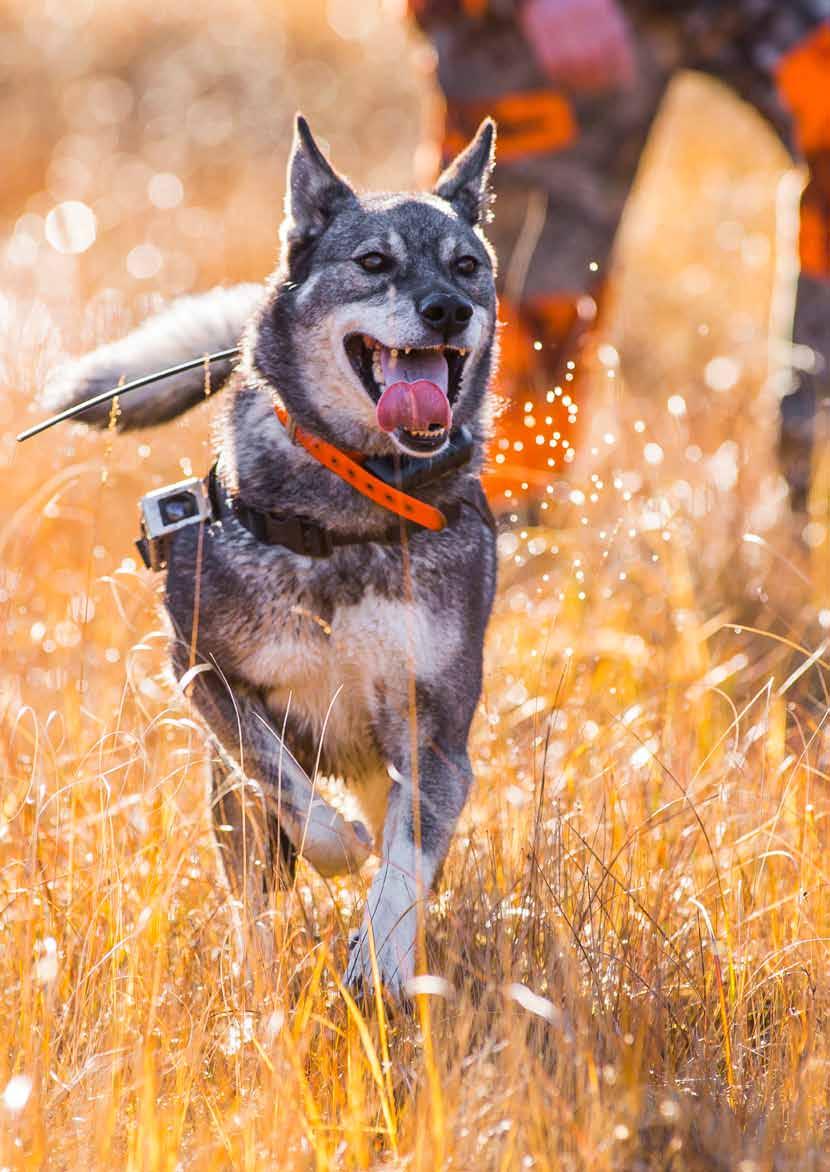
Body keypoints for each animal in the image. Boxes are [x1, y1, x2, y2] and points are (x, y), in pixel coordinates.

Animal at [43, 116, 499, 998]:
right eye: (373, 262)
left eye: (468, 266)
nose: (448, 310)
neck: (348, 510)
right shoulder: (204, 674)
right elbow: (292, 792)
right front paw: (342, 848)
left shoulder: (435, 740)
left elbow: (403, 868)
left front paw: (379, 963)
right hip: (227, 793)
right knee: (253, 881)